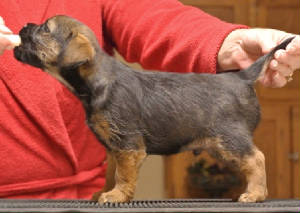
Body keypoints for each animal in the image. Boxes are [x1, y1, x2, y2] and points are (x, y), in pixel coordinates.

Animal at [13, 15, 292, 203]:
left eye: (45, 29)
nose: (24, 26)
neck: (97, 81)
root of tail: (242, 77)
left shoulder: (128, 144)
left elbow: (123, 174)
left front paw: (116, 196)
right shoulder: (116, 146)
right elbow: (114, 171)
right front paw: (105, 192)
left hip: (230, 139)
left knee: (256, 159)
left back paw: (254, 194)